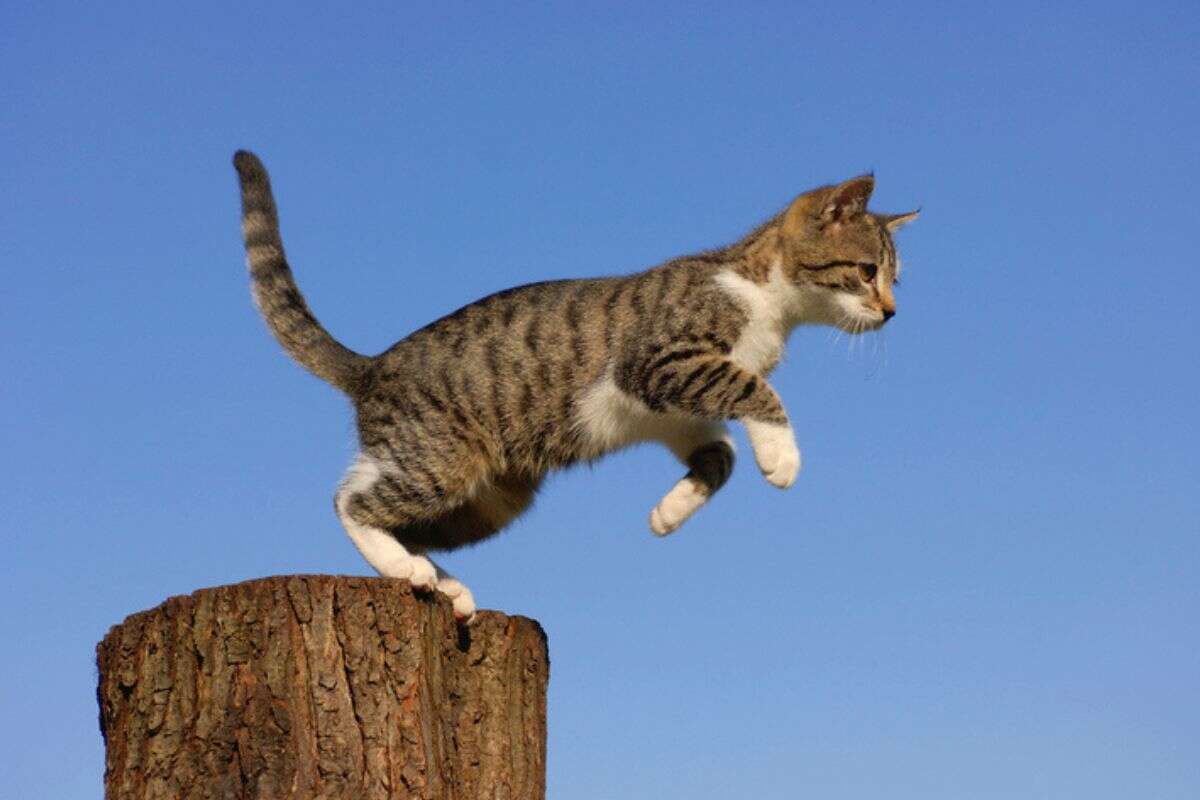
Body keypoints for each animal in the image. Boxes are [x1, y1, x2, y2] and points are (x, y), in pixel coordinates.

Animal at [231, 151, 916, 623]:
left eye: (895, 279)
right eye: (867, 271)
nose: (891, 313)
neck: (765, 298)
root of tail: (371, 366)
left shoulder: (668, 409)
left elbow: (720, 454)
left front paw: (669, 513)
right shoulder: (661, 361)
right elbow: (755, 390)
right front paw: (783, 456)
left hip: (489, 501)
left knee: (397, 513)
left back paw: (439, 581)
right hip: (442, 460)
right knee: (349, 500)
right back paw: (407, 567)